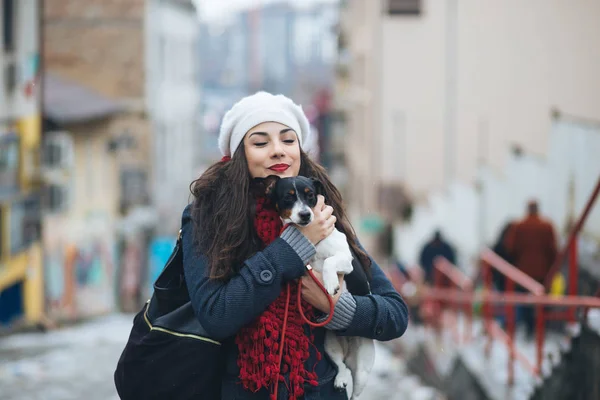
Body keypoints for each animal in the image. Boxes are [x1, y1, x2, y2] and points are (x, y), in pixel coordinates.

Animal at [258, 176, 376, 400]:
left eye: (310, 195)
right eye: (288, 197)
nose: (305, 214)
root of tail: (349, 346)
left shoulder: (345, 260)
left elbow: (329, 262)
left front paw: (330, 284)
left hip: (364, 369)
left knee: (356, 390)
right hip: (330, 346)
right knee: (341, 366)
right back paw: (340, 379)